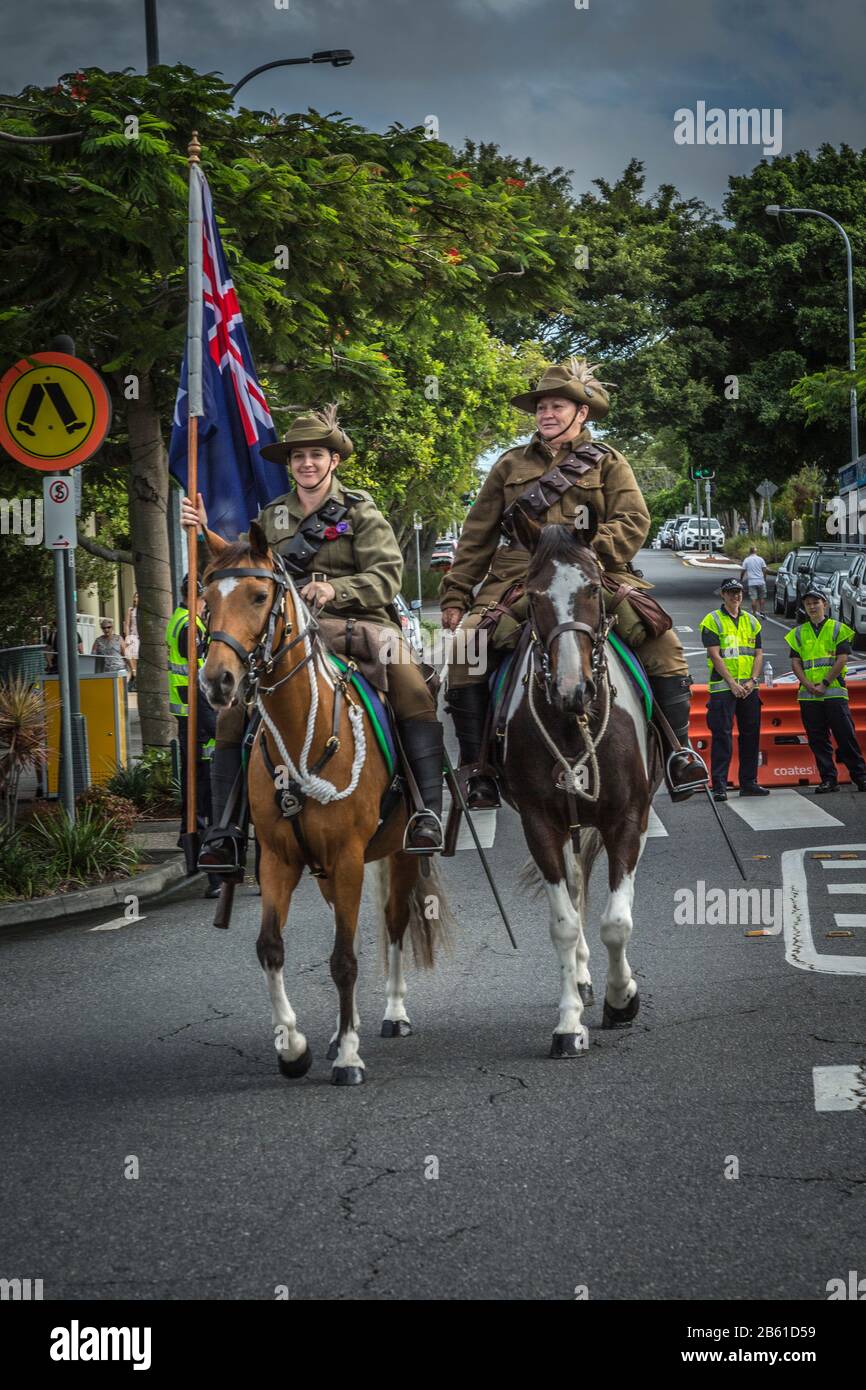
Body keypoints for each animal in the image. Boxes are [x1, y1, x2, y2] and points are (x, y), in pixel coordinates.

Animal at [198, 522, 450, 1084]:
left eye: (259, 596)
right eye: (206, 600)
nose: (217, 681)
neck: (302, 737)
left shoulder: (350, 857)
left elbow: (344, 960)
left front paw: (350, 1057)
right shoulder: (278, 860)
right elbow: (271, 947)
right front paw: (294, 1047)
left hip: (397, 854)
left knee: (394, 924)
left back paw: (392, 1013)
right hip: (328, 872)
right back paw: (340, 1031)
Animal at [497, 505, 661, 1056]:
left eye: (592, 586)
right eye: (532, 594)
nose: (573, 690)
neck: (574, 723)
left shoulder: (628, 819)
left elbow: (617, 921)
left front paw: (622, 998)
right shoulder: (540, 824)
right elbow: (565, 922)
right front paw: (569, 1023)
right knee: (575, 883)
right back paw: (584, 979)